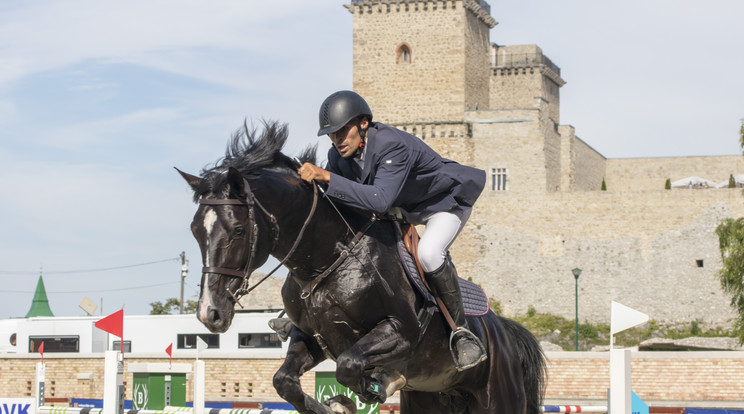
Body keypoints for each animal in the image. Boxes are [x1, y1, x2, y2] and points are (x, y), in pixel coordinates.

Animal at [177, 121, 544, 412]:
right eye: (195, 231)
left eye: (238, 230)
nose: (210, 314)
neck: (324, 262)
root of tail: (503, 330)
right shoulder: (312, 337)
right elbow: (285, 381)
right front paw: (336, 404)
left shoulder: (400, 332)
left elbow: (348, 365)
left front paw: (372, 388)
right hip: (430, 398)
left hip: (498, 396)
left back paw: (465, 347)